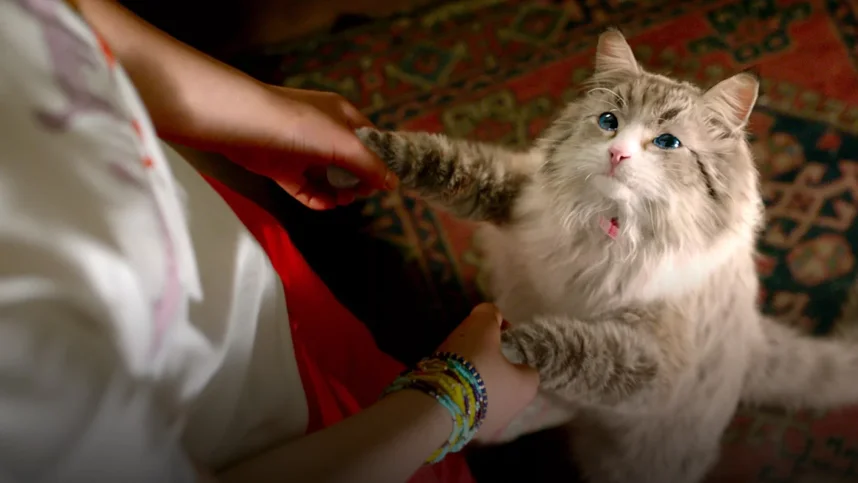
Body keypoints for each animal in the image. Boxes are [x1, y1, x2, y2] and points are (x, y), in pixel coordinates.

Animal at [355, 29, 858, 483]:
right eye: (608, 121)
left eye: (667, 142)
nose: (617, 154)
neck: (613, 228)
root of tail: (752, 339)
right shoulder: (521, 194)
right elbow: (450, 167)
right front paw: (367, 141)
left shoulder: (650, 362)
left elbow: (579, 349)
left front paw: (509, 341)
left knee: (568, 406)